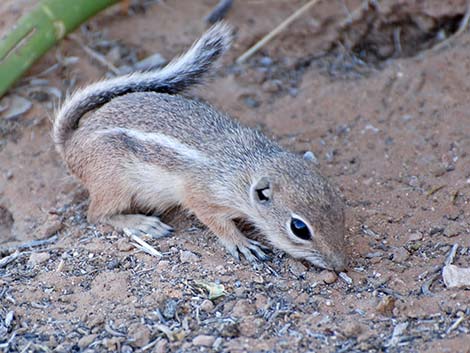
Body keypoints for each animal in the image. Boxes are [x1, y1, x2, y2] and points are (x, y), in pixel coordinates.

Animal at [54, 22, 348, 270]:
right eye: (299, 228)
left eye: (339, 205)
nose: (340, 264)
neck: (245, 166)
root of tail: (71, 143)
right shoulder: (201, 196)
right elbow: (215, 222)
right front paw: (242, 243)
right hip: (114, 185)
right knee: (96, 215)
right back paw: (142, 224)